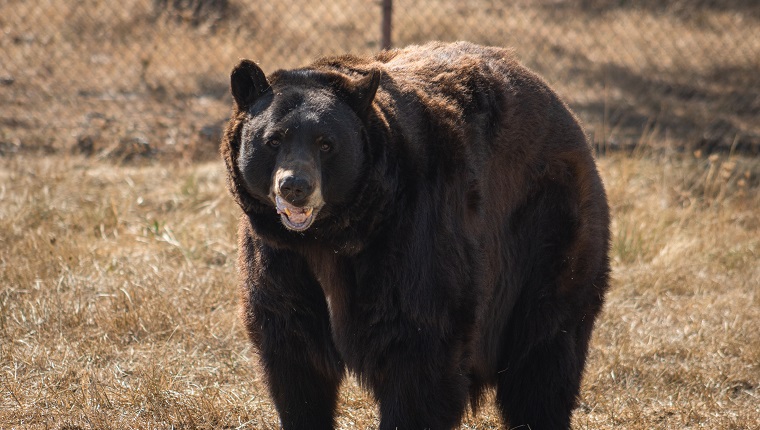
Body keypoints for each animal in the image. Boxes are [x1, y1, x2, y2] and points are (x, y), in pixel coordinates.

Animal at [221, 41, 612, 430]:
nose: (295, 187)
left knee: (544, 353)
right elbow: (293, 355)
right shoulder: (280, 258)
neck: (330, 238)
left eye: (326, 143)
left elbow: (418, 351)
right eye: (274, 139)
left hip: (548, 229)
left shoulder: (412, 234)